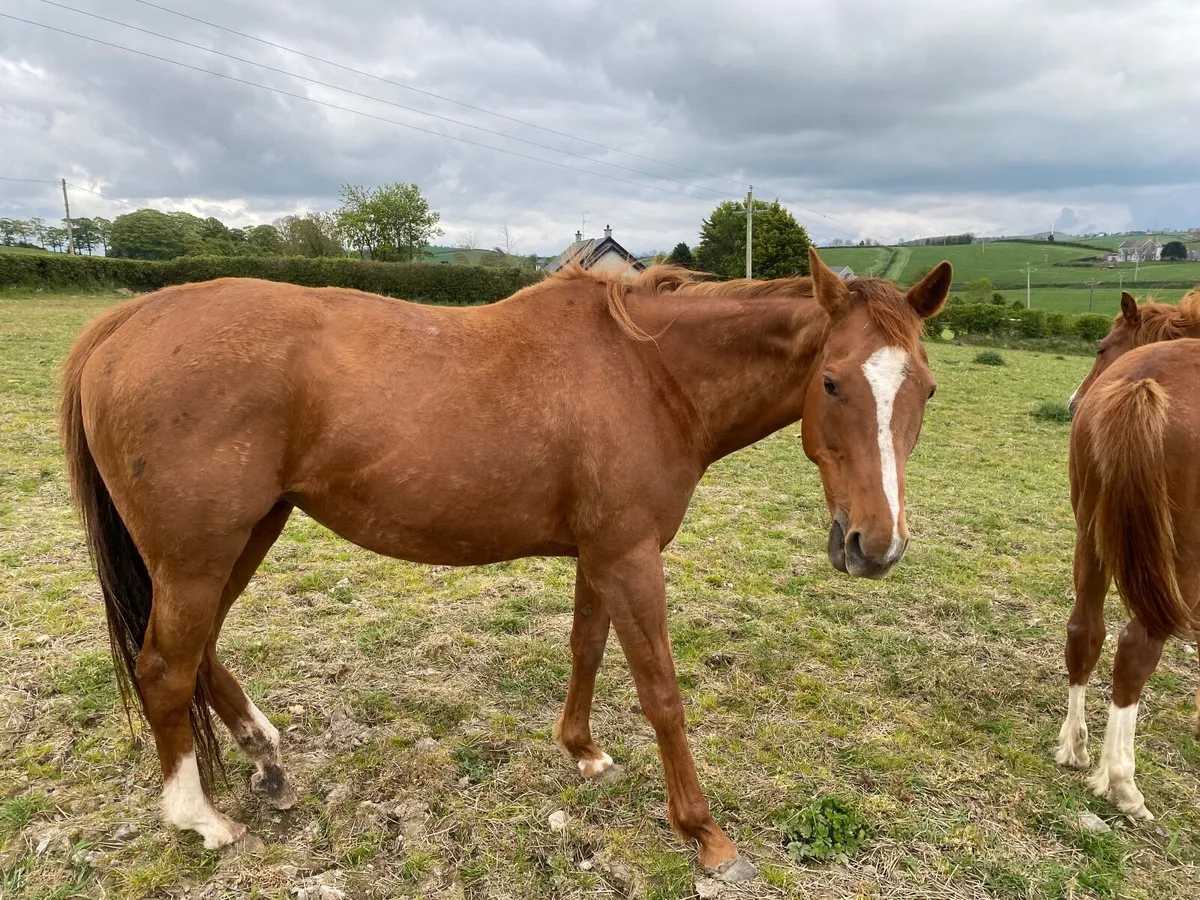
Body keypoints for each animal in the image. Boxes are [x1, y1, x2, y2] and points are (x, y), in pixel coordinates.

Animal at [60, 249, 950, 879]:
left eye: (928, 391)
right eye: (831, 382)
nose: (876, 545)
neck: (650, 372)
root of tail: (126, 322)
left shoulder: (602, 553)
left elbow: (586, 648)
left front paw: (581, 750)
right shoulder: (631, 557)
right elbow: (662, 694)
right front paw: (704, 832)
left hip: (245, 536)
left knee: (199, 651)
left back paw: (266, 757)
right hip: (199, 553)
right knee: (165, 667)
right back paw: (200, 818)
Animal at [1055, 288, 1200, 819]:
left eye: (1101, 348)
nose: (1072, 404)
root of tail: (1143, 384)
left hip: (1091, 538)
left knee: (1085, 630)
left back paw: (1074, 747)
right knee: (1137, 647)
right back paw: (1121, 781)